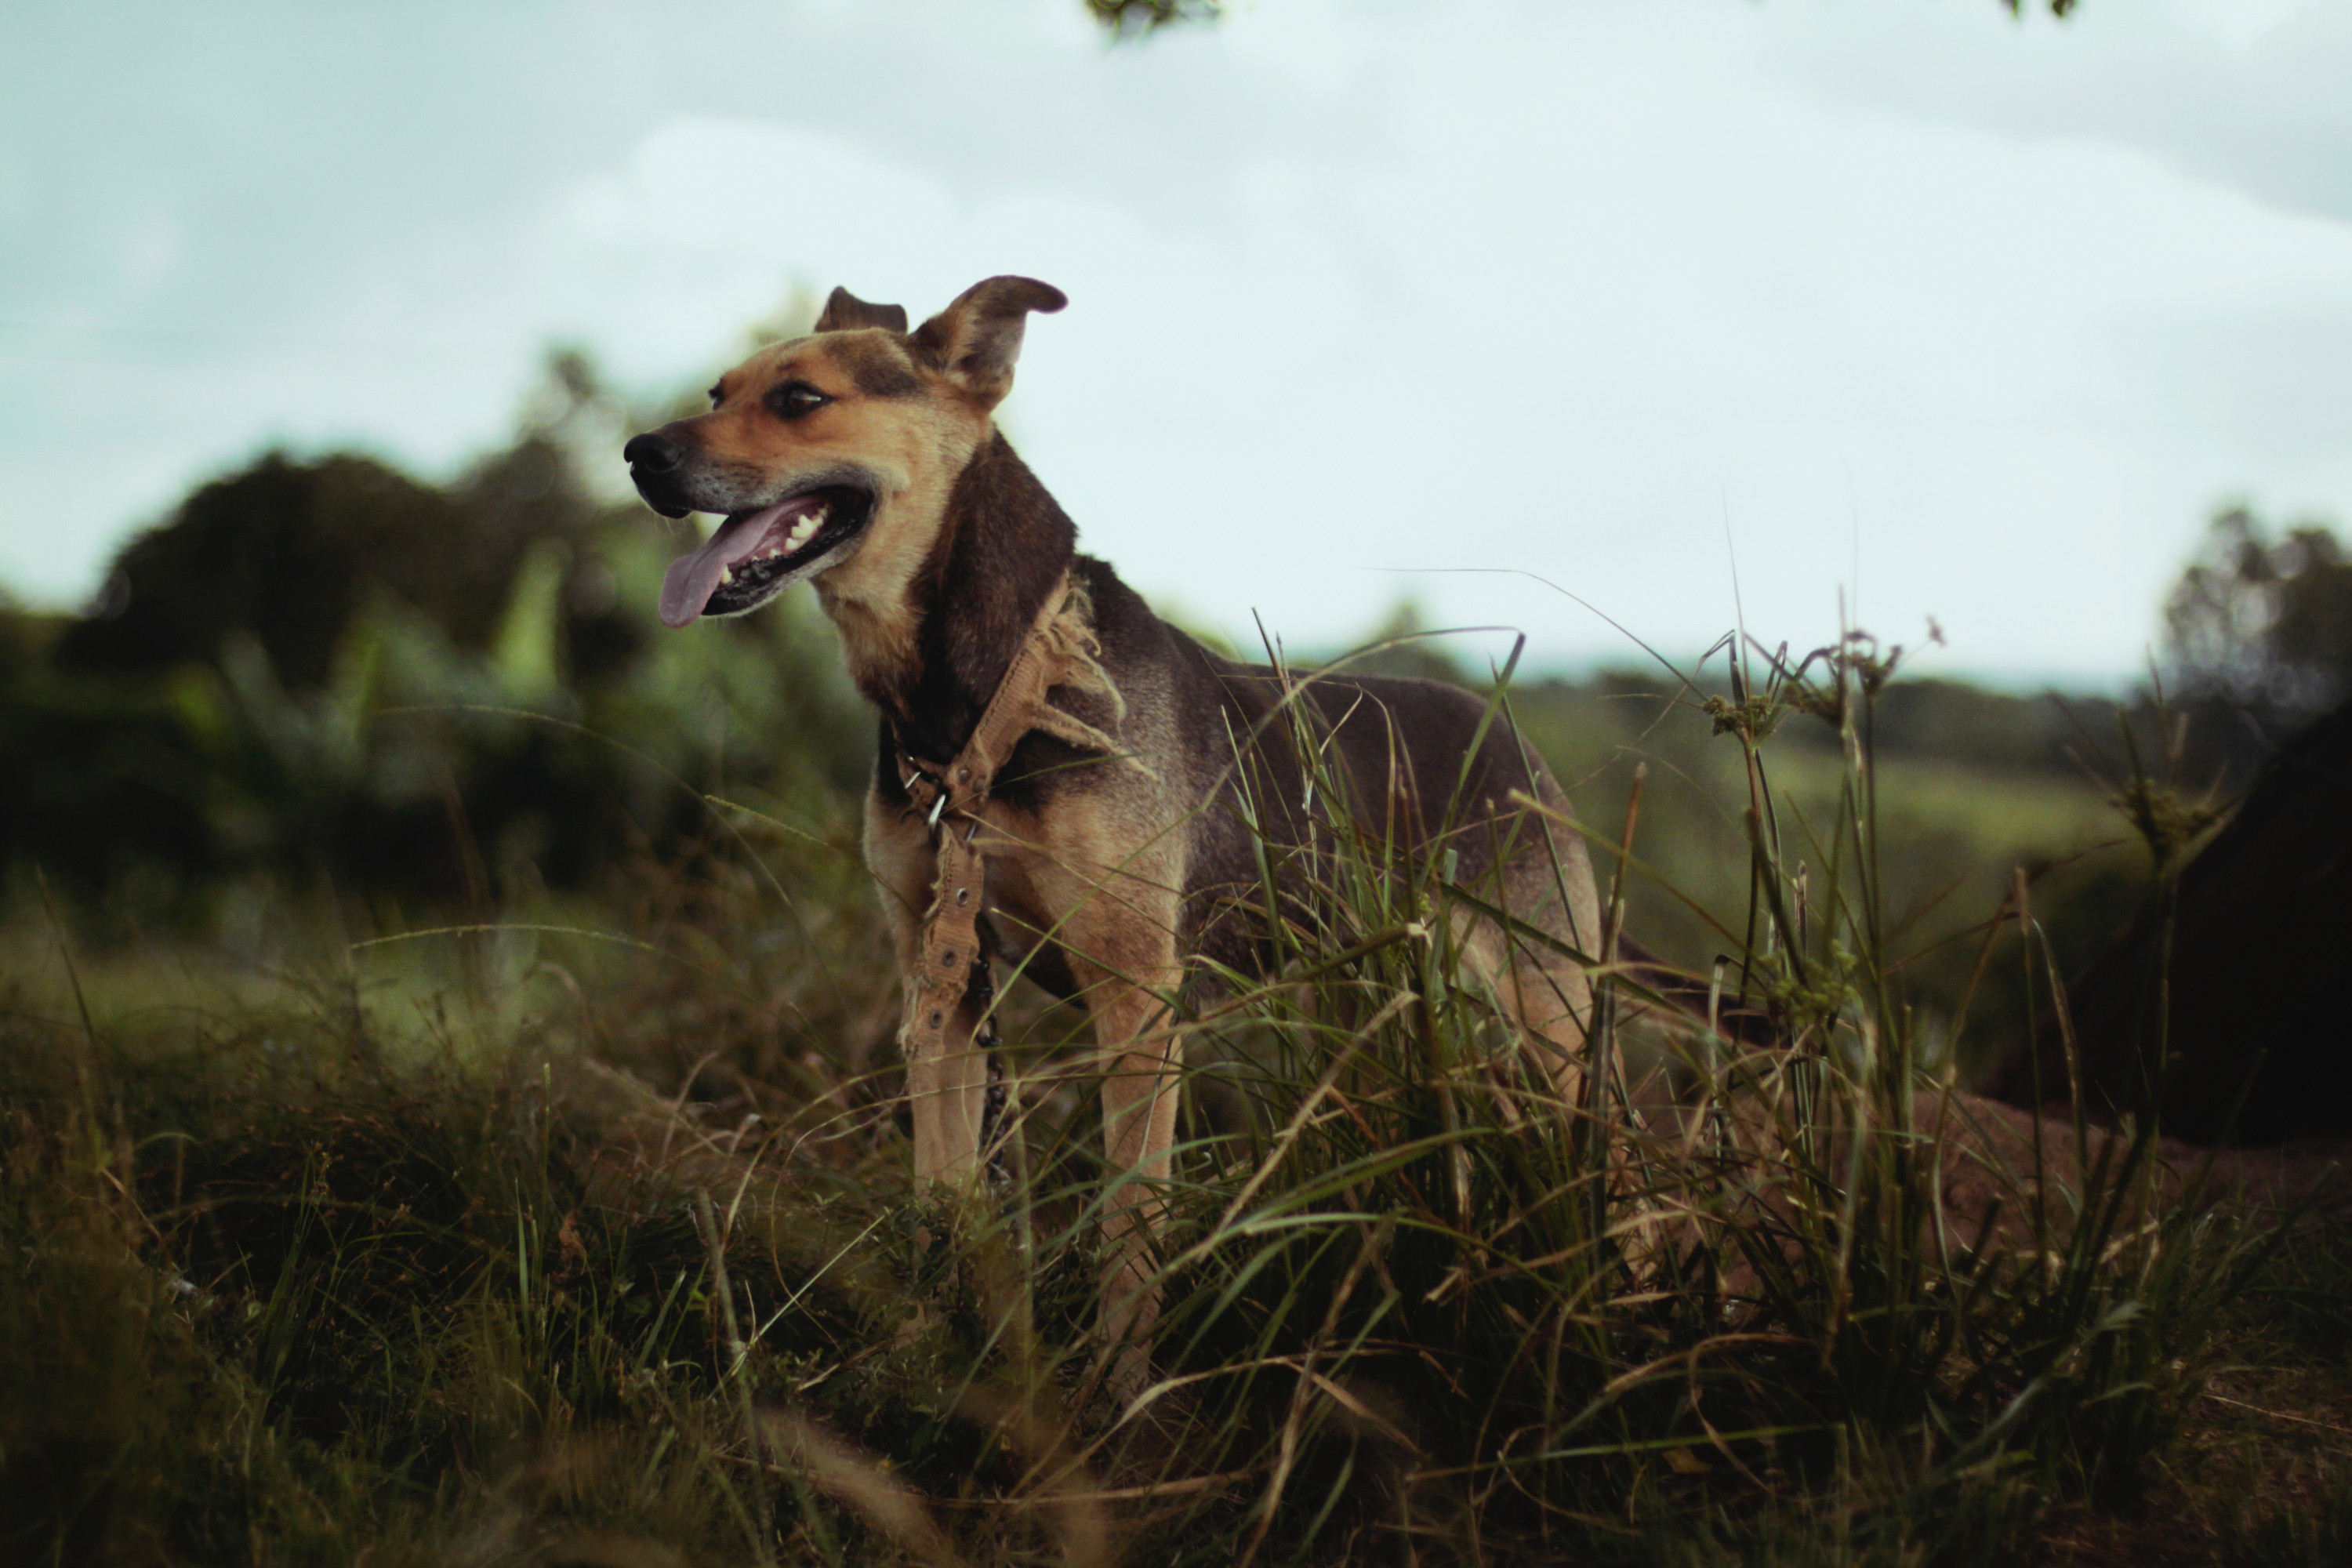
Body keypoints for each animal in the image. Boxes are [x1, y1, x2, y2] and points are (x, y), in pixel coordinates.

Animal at [626, 278, 1609, 1373]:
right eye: (720, 391)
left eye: (800, 398)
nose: (639, 455)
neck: (992, 692)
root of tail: (1513, 744)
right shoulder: (942, 977)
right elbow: (942, 1190)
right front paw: (934, 1346)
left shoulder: (1137, 998)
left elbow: (1130, 1225)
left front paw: (1117, 1385)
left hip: (1546, 1020)